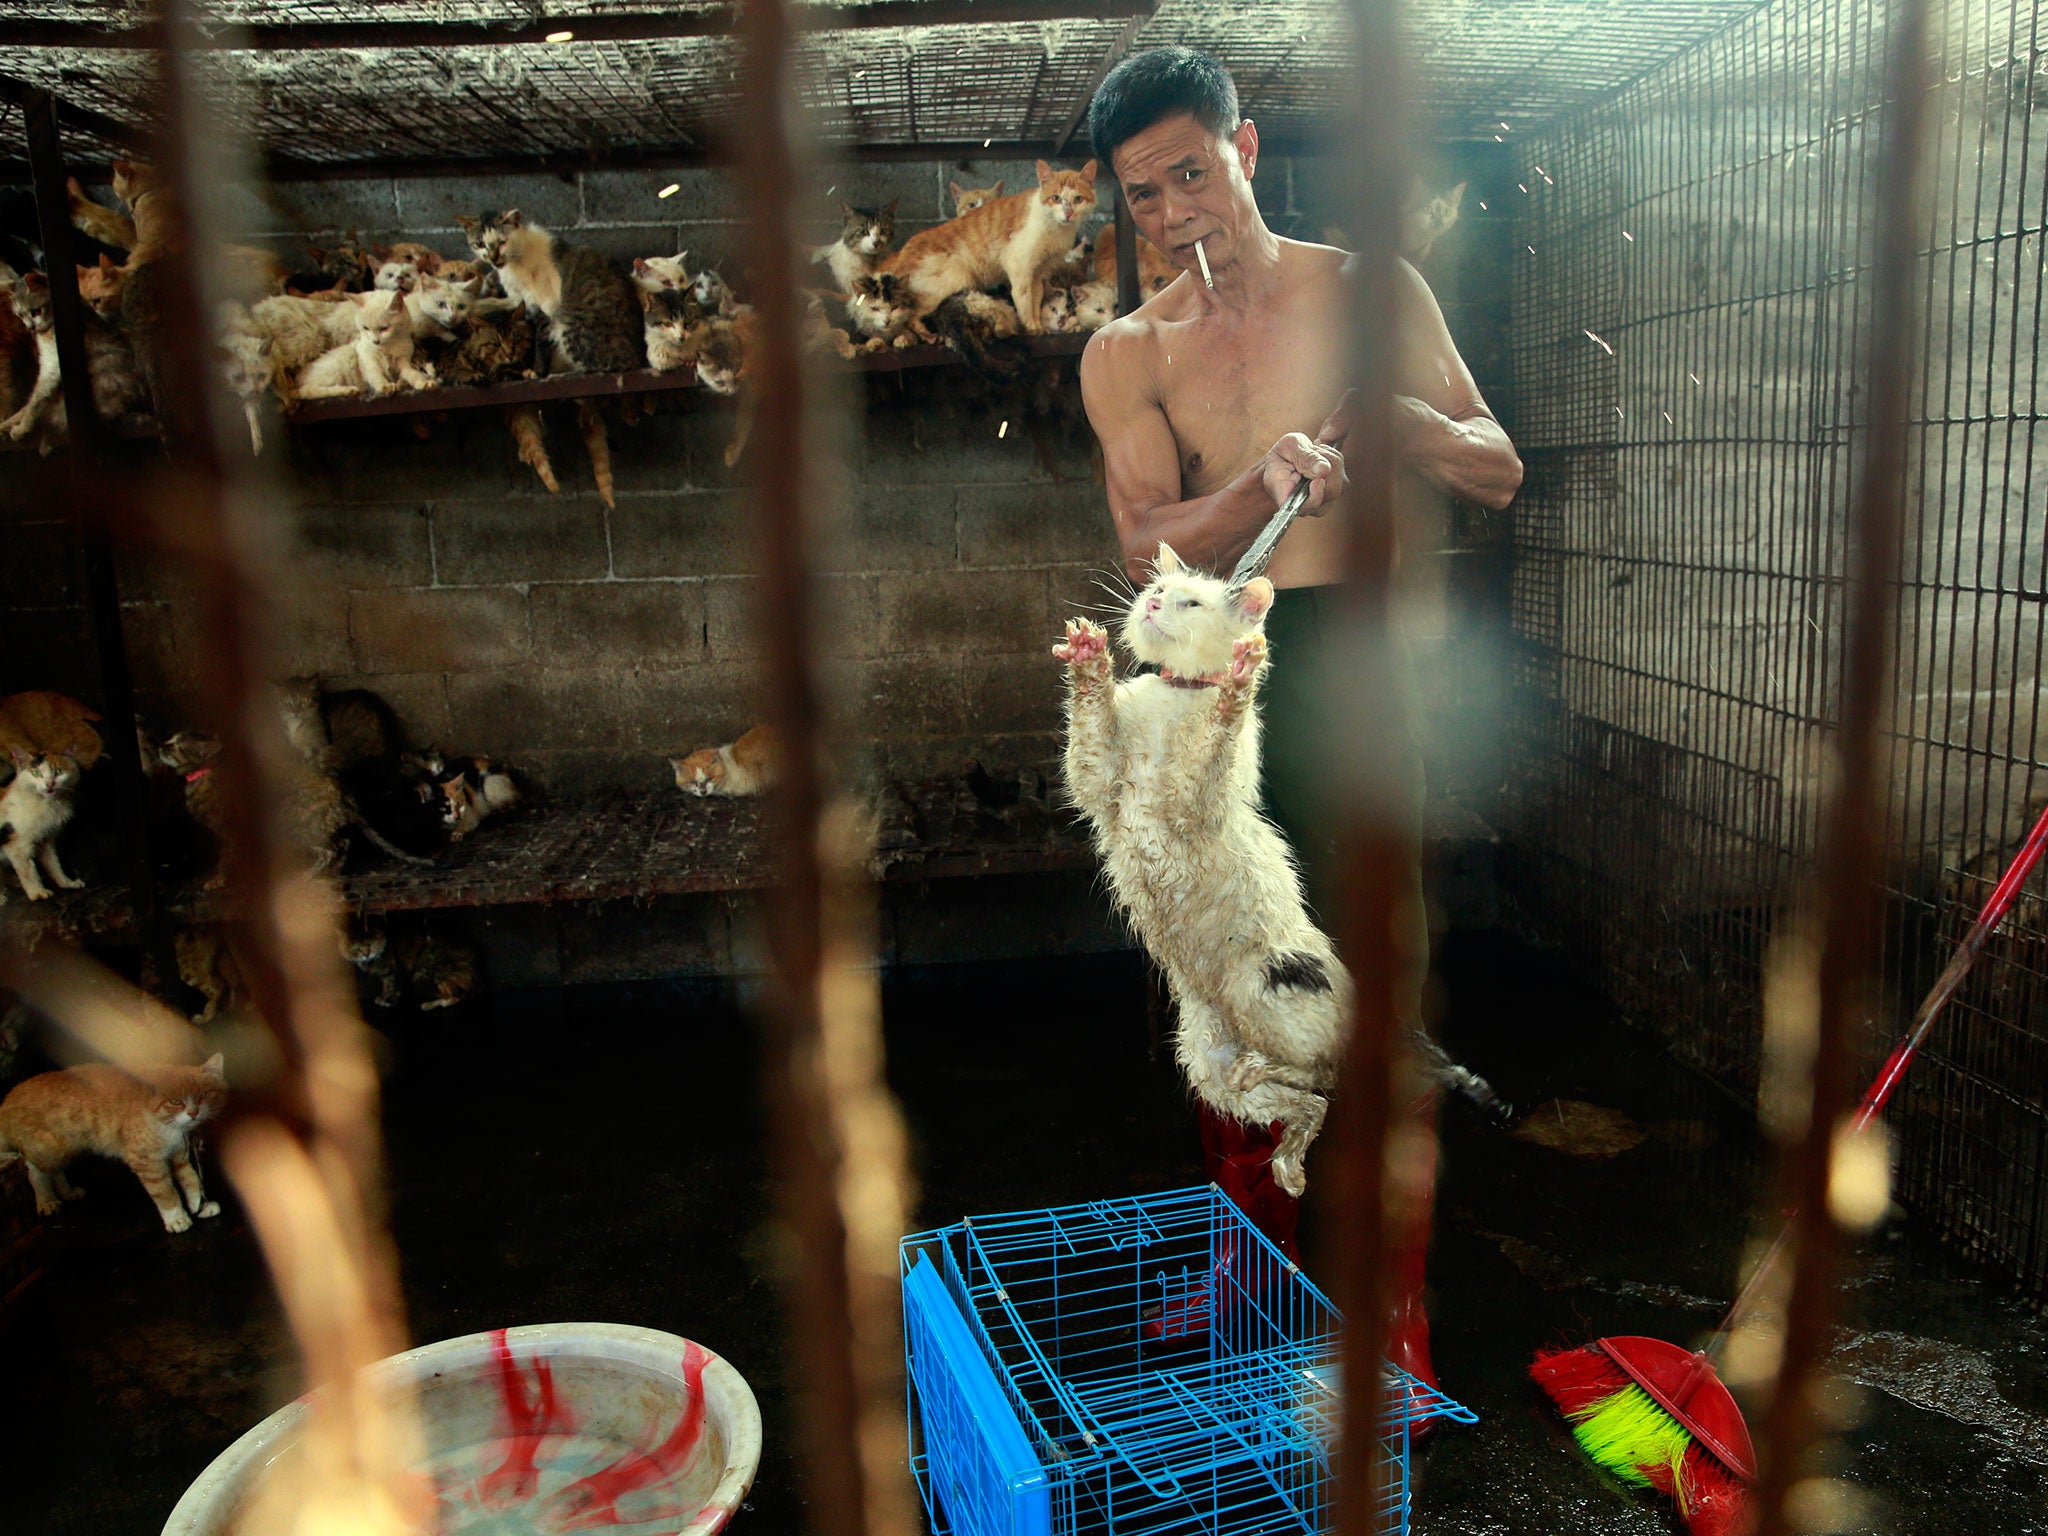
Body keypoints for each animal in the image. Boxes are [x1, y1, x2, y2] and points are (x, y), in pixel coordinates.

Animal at [0, 1056, 228, 1236]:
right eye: (175, 1101)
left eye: (203, 1094)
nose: (193, 1113)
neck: (168, 1126)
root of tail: (7, 1097)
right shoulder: (146, 1162)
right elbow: (164, 1191)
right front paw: (176, 1218)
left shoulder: (178, 1153)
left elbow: (190, 1178)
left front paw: (197, 1204)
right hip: (47, 1148)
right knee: (34, 1170)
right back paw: (46, 1200)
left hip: (66, 1148)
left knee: (56, 1171)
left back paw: (68, 1192)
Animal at [1, 753, 86, 909]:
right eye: (36, 773)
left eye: (58, 771)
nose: (49, 784)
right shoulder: (16, 847)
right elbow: (29, 871)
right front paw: (38, 893)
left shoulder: (45, 841)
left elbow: (54, 865)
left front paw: (68, 883)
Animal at [884, 158, 1097, 333]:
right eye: (1056, 198)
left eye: (1078, 199)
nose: (1068, 213)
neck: (1055, 228)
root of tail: (901, 253)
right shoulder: (1019, 267)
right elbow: (1025, 302)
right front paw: (1032, 328)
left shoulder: (1038, 272)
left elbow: (1037, 300)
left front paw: (1039, 325)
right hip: (948, 283)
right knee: (909, 317)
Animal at [1056, 552, 1343, 1204]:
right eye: (1159, 588)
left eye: (1191, 602)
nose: (1154, 603)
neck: (1176, 690)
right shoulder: (1099, 783)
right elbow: (1091, 734)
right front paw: (1088, 654)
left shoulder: (1195, 804)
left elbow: (1214, 742)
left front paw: (1239, 679)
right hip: (1206, 1059)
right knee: (1307, 1101)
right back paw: (1288, 1168)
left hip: (1260, 984)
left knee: (1323, 1072)